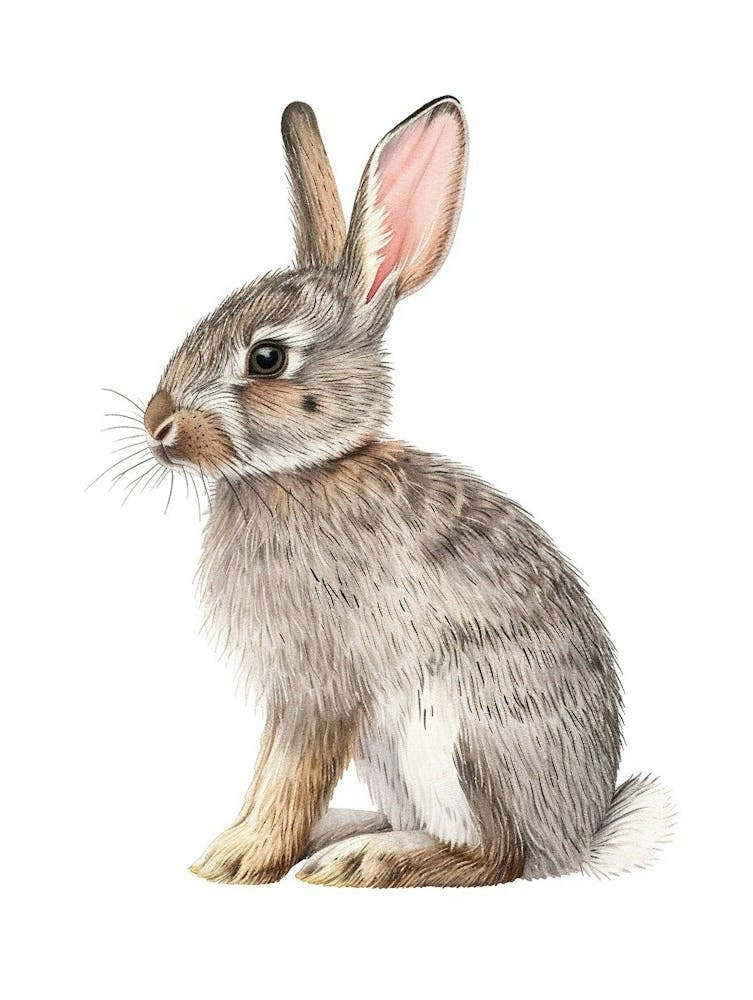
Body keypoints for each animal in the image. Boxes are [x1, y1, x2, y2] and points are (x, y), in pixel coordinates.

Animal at [134, 97, 672, 887]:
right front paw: (234, 845)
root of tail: (577, 840)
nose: (157, 426)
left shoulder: (320, 684)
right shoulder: (291, 693)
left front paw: (239, 858)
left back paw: (367, 860)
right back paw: (347, 834)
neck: (302, 473)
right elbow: (268, 770)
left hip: (450, 737)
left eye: (266, 358)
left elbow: (289, 774)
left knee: (495, 855)